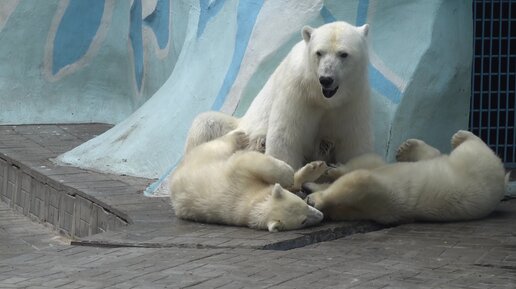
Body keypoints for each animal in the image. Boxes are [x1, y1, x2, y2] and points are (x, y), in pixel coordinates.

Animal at [168, 129, 326, 231]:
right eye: (303, 221)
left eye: (303, 204)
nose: (321, 216)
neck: (253, 201)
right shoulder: (239, 180)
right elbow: (245, 161)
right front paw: (289, 174)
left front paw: (315, 167)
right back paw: (239, 136)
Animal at [185, 22, 370, 169]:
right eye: (319, 53)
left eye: (343, 54)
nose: (326, 79)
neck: (321, 97)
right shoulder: (297, 90)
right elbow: (286, 133)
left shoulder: (352, 98)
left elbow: (354, 140)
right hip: (237, 128)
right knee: (205, 124)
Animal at [302, 129, 508, 224]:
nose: (304, 187)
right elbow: (368, 163)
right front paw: (330, 170)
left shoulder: (385, 196)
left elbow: (361, 178)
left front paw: (315, 197)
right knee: (436, 156)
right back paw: (408, 148)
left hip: (477, 164)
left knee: (473, 146)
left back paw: (461, 136)